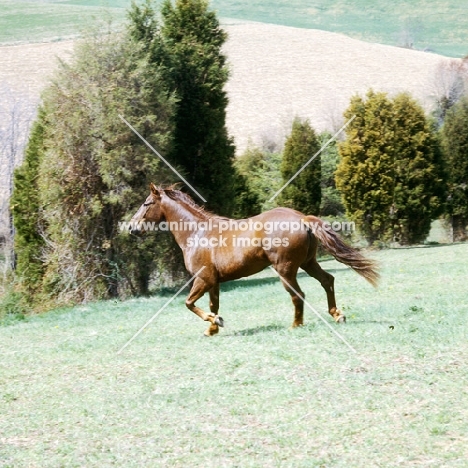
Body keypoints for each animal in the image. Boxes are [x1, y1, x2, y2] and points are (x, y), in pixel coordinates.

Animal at [130, 184, 378, 336]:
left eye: (146, 203)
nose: (132, 228)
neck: (197, 233)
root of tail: (301, 218)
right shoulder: (213, 282)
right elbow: (213, 305)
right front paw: (213, 327)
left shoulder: (203, 279)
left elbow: (189, 303)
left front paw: (214, 322)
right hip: (308, 263)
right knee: (327, 280)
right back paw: (338, 315)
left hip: (285, 270)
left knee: (298, 295)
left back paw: (296, 325)